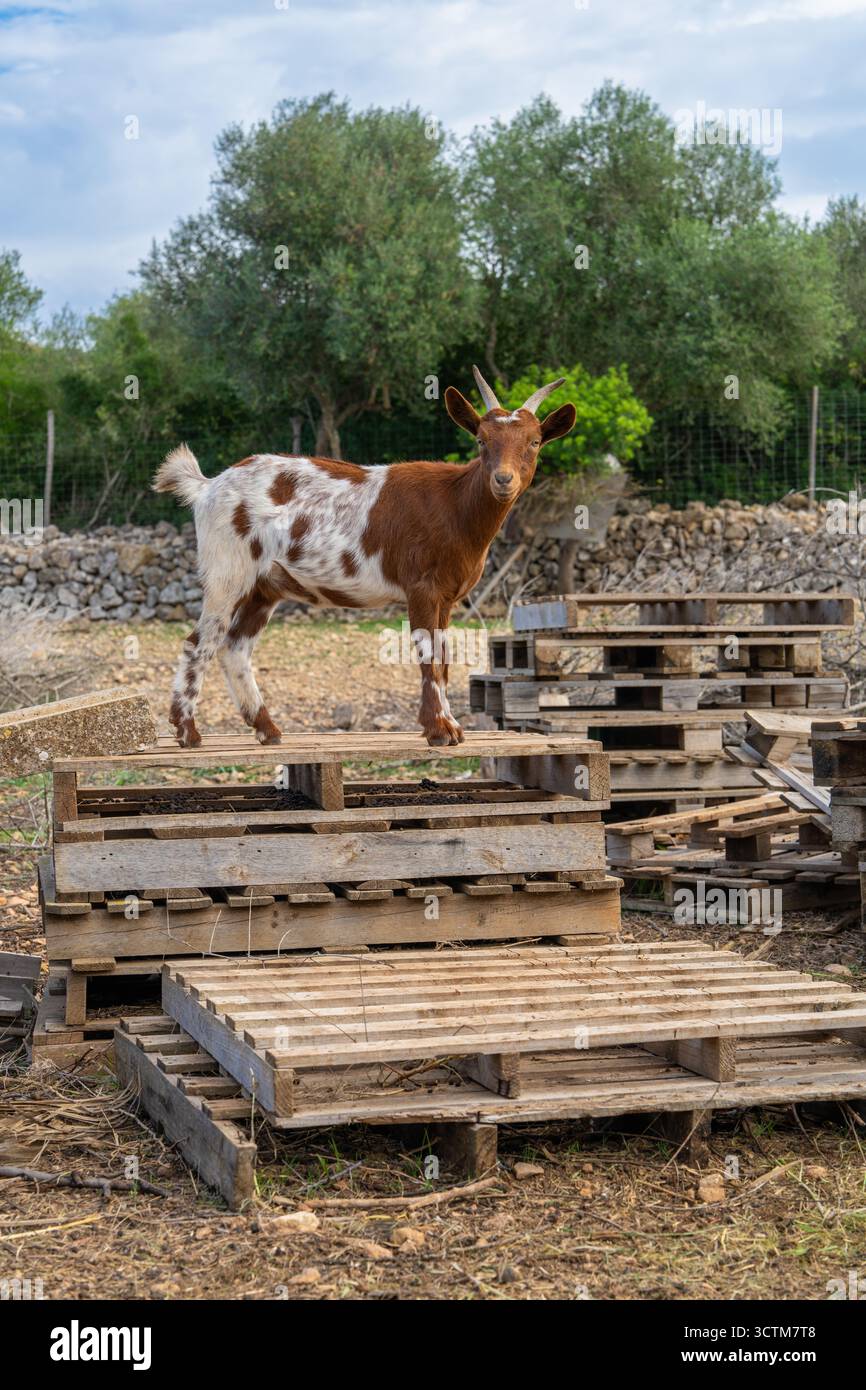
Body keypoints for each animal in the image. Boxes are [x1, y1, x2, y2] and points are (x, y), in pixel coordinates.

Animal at [153, 368, 576, 748]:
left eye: (535, 441)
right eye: (481, 440)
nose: (503, 480)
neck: (455, 504)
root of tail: (208, 486)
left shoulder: (448, 597)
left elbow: (444, 659)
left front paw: (449, 726)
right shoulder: (421, 588)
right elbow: (428, 656)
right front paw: (440, 730)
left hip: (264, 585)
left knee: (235, 648)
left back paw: (267, 729)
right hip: (228, 571)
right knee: (200, 642)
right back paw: (188, 732)